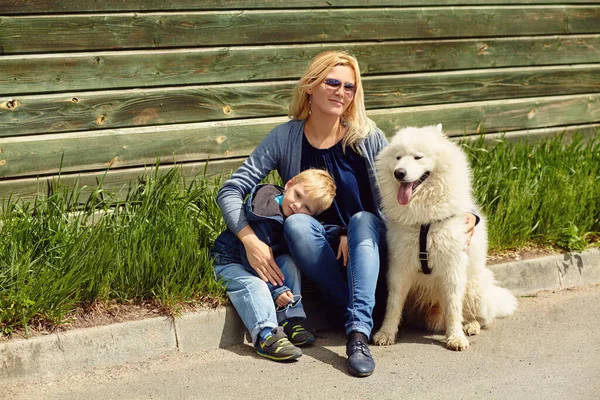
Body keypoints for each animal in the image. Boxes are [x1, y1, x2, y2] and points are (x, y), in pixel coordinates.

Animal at [376, 124, 516, 350]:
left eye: (418, 157)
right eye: (398, 157)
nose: (399, 173)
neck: (424, 221)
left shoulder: (452, 265)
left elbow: (453, 306)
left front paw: (456, 337)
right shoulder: (400, 264)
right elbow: (393, 303)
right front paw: (386, 333)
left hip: (474, 289)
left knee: (481, 318)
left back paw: (470, 326)